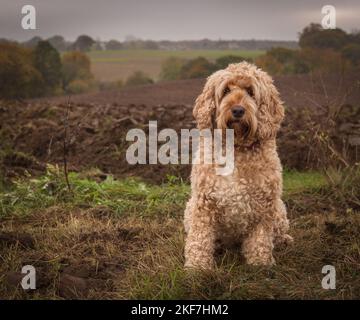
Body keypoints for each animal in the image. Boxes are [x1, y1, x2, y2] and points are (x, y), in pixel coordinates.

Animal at [184, 61, 292, 268]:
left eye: (250, 92)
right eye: (226, 90)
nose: (238, 110)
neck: (236, 147)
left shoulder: (264, 206)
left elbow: (260, 240)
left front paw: (260, 264)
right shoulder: (203, 205)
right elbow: (200, 238)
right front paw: (197, 267)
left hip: (279, 209)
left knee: (279, 230)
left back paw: (284, 240)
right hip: (189, 209)